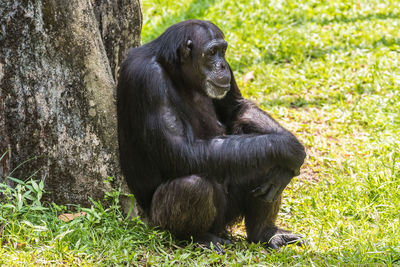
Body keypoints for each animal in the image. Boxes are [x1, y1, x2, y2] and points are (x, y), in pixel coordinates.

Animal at [117, 19, 304, 252]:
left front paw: (291, 148)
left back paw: (265, 232)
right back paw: (198, 237)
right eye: (212, 52)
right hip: (161, 222)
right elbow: (181, 150)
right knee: (192, 187)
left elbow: (237, 109)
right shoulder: (148, 79)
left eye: (223, 51)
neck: (176, 71)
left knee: (266, 164)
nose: (222, 65)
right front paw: (287, 148)